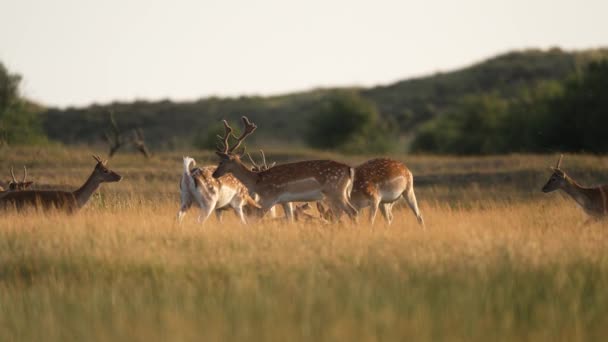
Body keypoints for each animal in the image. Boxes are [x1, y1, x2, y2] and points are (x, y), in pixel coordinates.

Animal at [213, 116, 358, 222]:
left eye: (221, 161)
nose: (214, 174)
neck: (257, 181)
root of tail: (349, 169)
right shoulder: (284, 200)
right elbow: (289, 218)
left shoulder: (269, 197)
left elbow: (256, 218)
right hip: (341, 193)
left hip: (335, 191)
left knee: (352, 211)